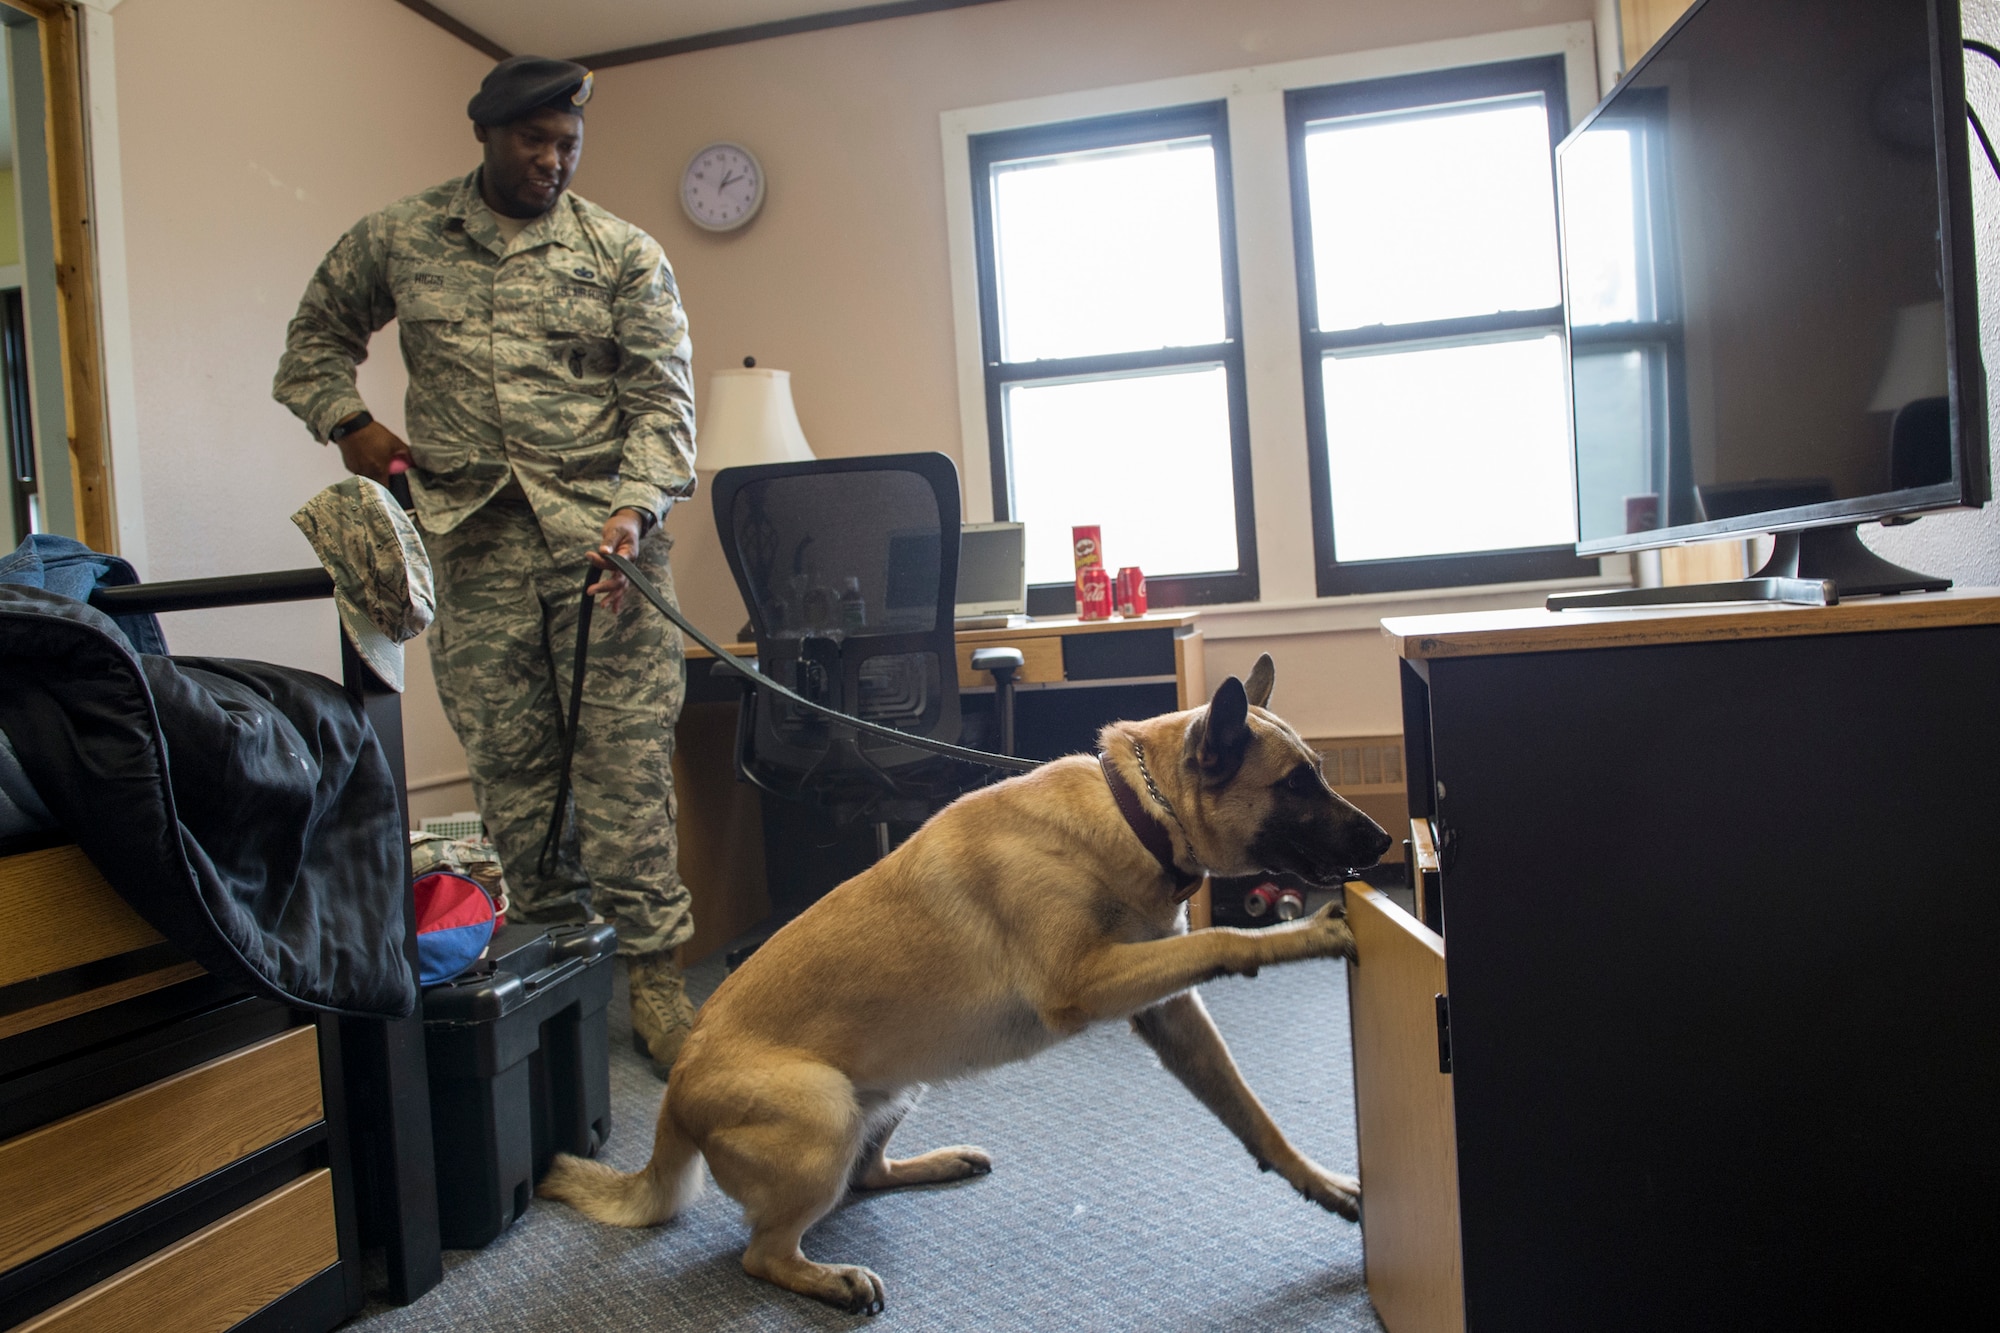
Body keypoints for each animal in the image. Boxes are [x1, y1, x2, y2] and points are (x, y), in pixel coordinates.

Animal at [540, 652, 1400, 1304]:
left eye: (1318, 773)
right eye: (1295, 785)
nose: (1385, 838)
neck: (1133, 811)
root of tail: (676, 1097)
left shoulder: (1169, 1012)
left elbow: (1254, 1115)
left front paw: (1321, 1182)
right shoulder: (1090, 982)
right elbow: (1226, 938)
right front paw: (1305, 931)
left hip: (894, 1088)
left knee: (866, 1177)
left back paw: (936, 1163)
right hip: (822, 1111)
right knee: (762, 1252)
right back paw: (828, 1277)